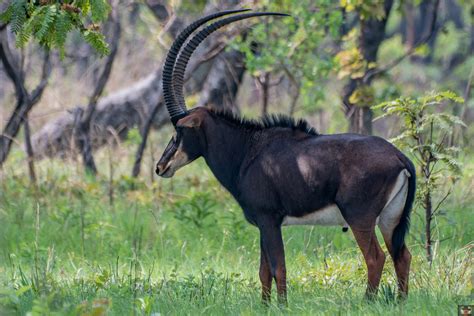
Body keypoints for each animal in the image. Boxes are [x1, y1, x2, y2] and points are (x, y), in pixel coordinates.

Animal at [155, 10, 414, 304]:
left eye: (179, 129)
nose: (160, 166)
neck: (246, 150)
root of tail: (400, 158)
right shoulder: (262, 223)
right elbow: (264, 270)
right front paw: (265, 305)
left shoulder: (269, 219)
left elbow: (278, 266)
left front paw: (281, 305)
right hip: (391, 219)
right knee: (402, 255)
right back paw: (401, 302)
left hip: (360, 218)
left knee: (376, 257)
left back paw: (367, 302)